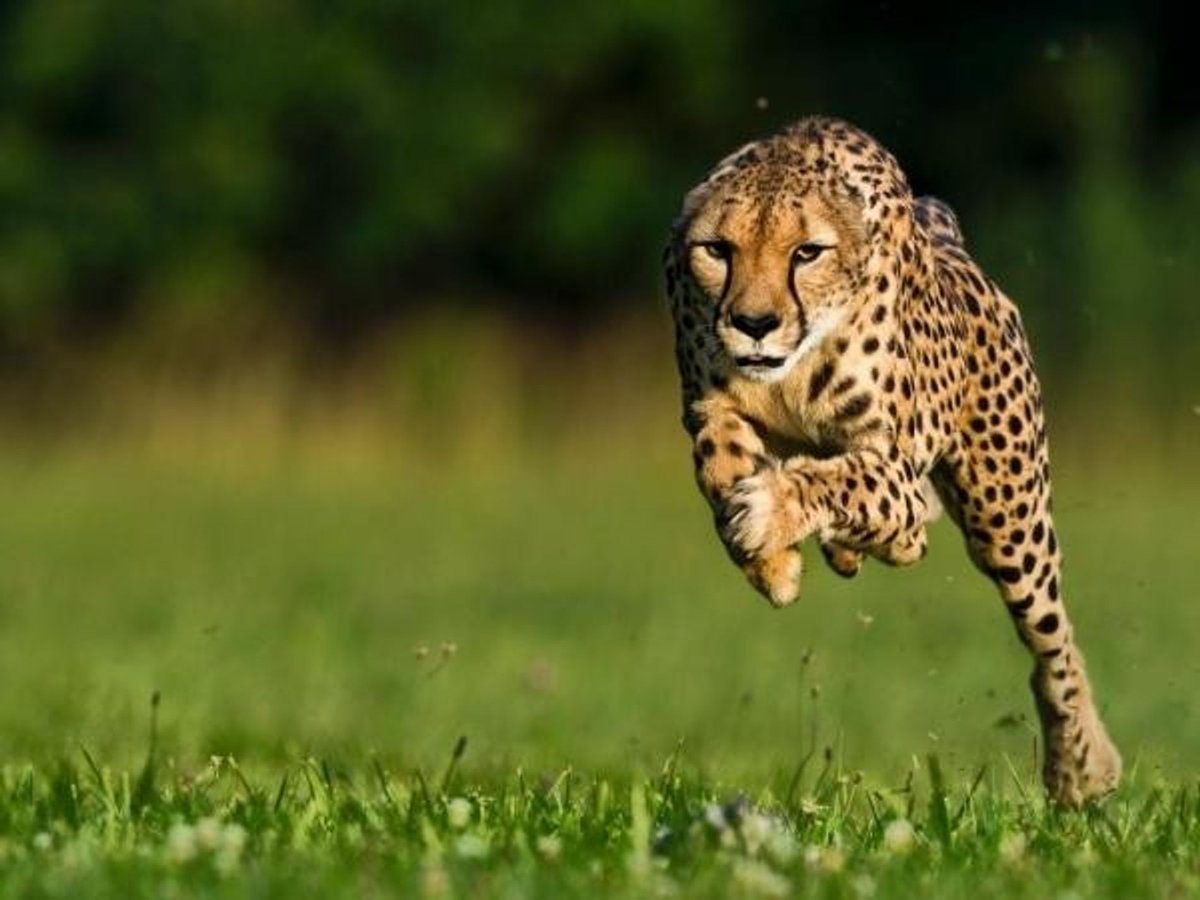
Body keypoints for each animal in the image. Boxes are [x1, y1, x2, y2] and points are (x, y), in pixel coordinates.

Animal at [662, 116, 1120, 806]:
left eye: (807, 252)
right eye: (718, 250)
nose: (754, 322)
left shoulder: (894, 466)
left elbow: (844, 479)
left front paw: (769, 514)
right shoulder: (709, 405)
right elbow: (719, 462)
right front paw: (771, 563)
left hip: (1007, 517)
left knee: (1052, 638)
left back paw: (1081, 766)